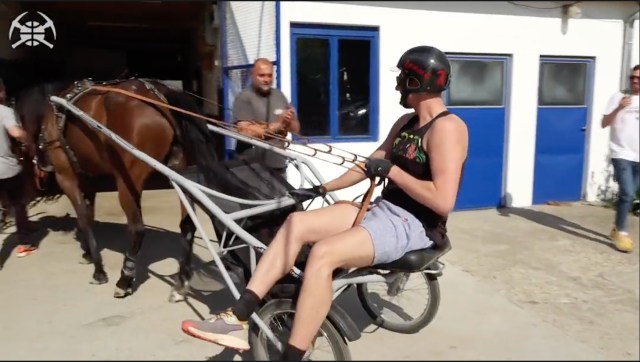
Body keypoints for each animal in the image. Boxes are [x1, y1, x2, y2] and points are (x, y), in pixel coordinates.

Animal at [15, 78, 220, 300]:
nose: (40, 164)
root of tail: (157, 96)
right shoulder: (88, 177)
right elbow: (88, 214)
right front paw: (88, 253)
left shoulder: (66, 176)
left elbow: (84, 218)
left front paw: (98, 270)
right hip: (180, 173)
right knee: (188, 225)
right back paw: (181, 282)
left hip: (126, 181)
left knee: (138, 229)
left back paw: (125, 279)